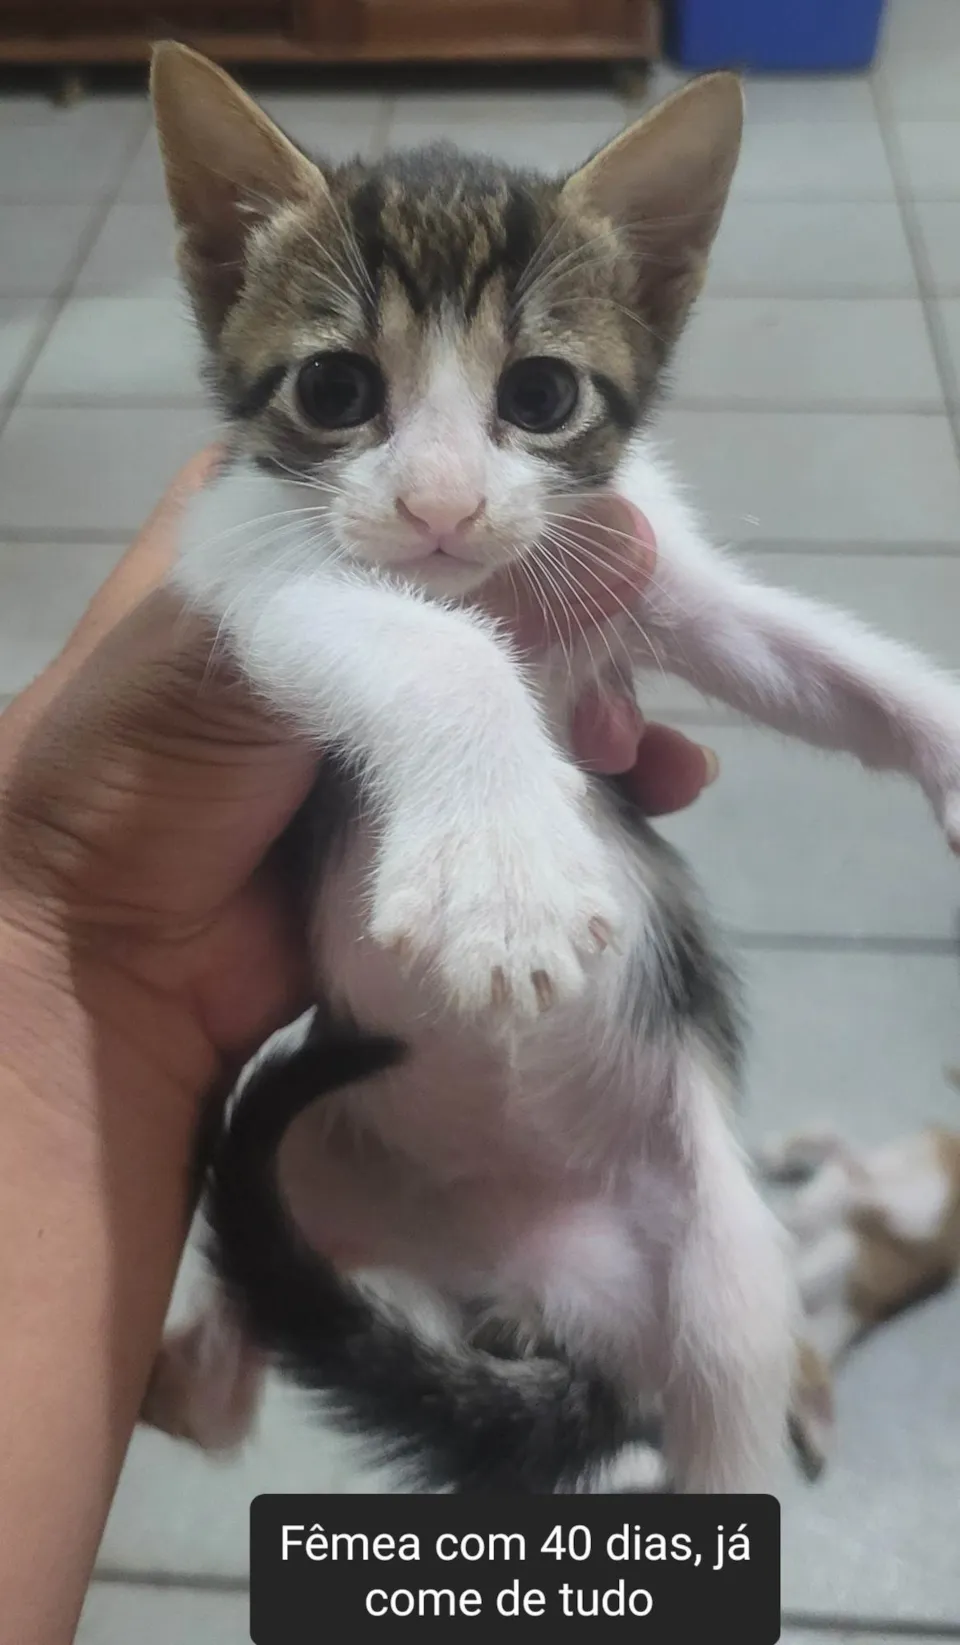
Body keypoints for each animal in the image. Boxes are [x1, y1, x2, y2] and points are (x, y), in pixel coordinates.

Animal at [143, 41, 960, 1496]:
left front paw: (952, 744)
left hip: (722, 1266)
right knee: (235, 1363)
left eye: (540, 397)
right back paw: (176, 1376)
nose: (442, 504)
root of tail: (514, 1277)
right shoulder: (244, 561)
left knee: (726, 1405)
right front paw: (505, 879)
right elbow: (434, 646)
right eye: (336, 390)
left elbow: (812, 658)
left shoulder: (643, 553)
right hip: (308, 1163)